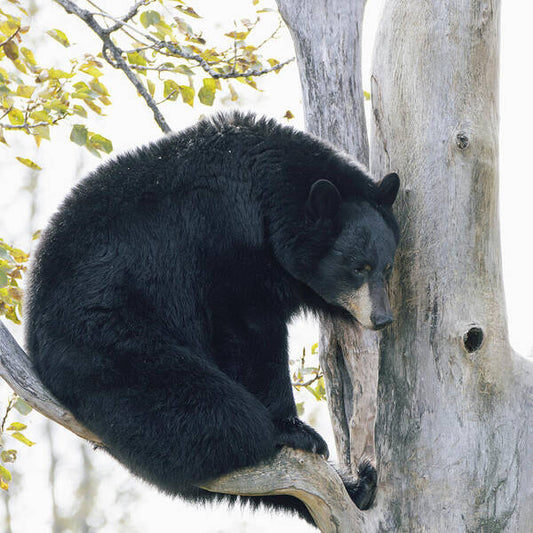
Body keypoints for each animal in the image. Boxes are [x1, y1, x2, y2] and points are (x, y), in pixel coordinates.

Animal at [26, 112, 400, 524]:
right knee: (209, 411)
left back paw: (358, 486)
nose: (382, 318)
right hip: (106, 338)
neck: (266, 199)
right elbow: (248, 334)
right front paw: (293, 427)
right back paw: (273, 435)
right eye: (359, 267)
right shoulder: (223, 244)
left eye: (387, 266)